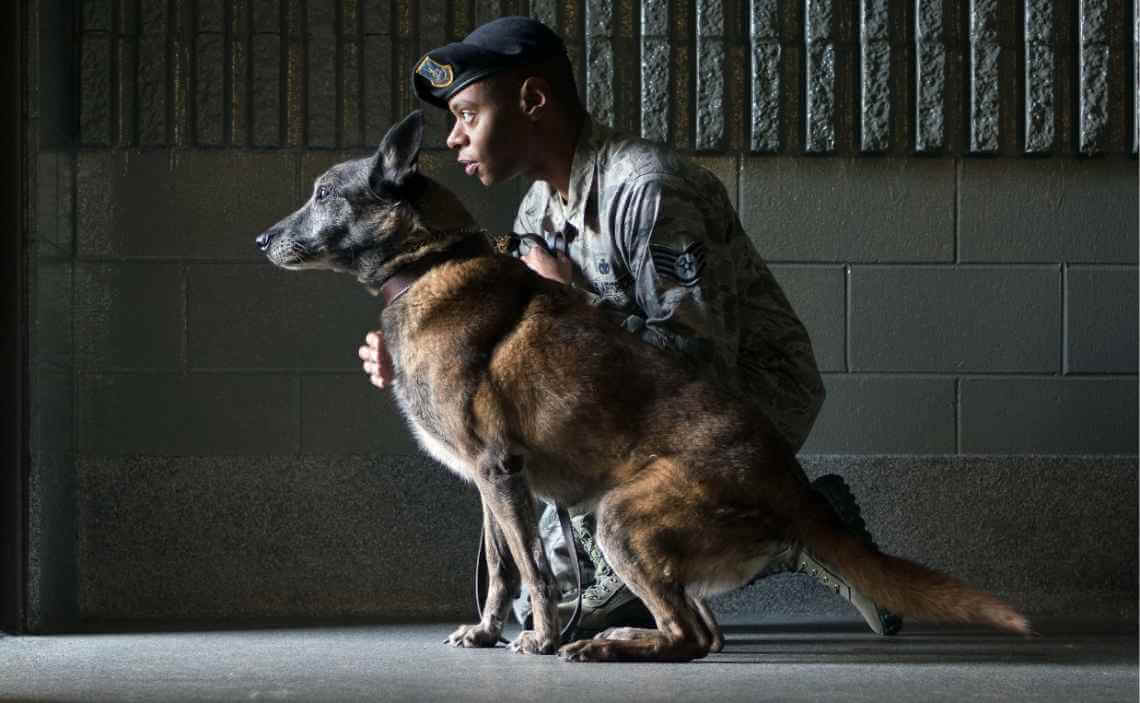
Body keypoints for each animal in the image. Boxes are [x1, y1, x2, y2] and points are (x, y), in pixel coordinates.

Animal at [258, 111, 1035, 665]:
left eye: (323, 194)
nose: (262, 239)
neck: (431, 262)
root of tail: (786, 480)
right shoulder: (487, 484)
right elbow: (503, 570)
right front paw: (484, 632)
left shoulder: (500, 471)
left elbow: (533, 572)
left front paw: (538, 638)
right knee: (704, 631)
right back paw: (620, 637)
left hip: (617, 516)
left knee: (690, 634)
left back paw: (597, 644)